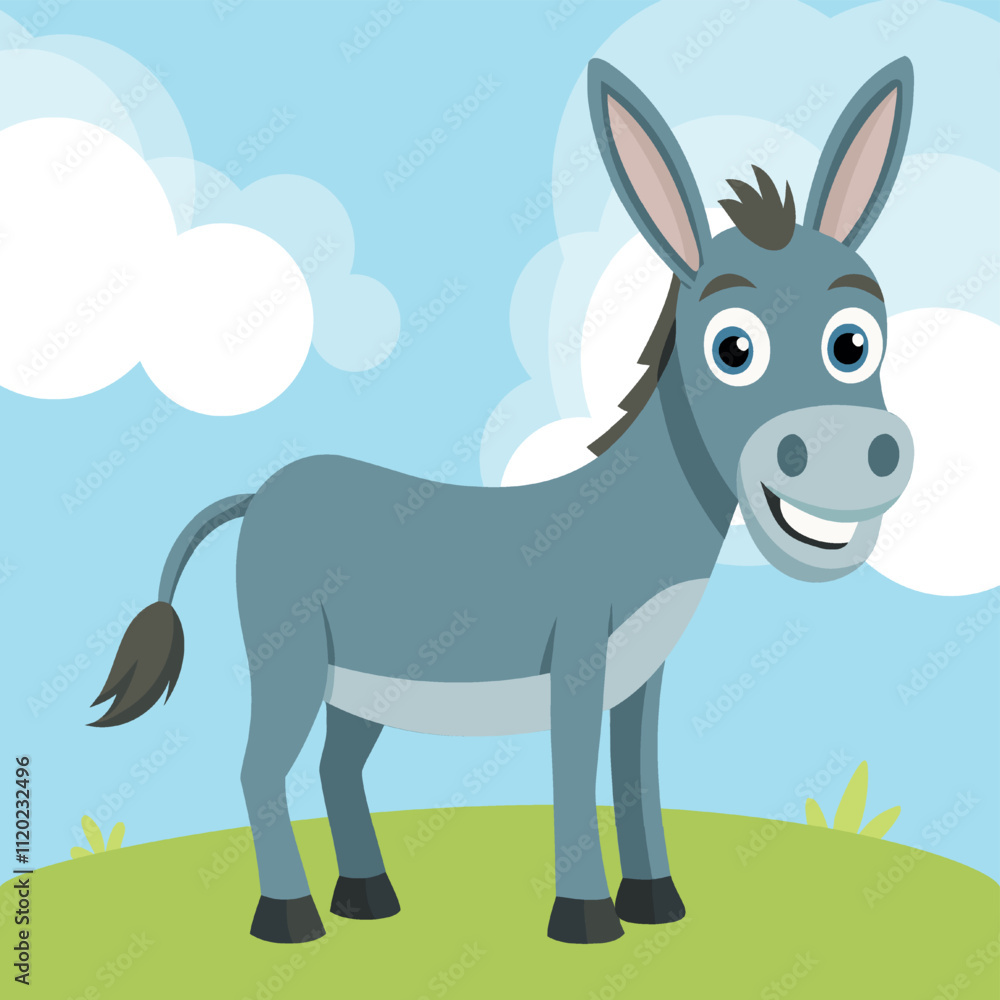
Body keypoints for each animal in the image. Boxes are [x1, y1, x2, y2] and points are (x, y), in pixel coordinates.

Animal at [91, 56, 915, 945]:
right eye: (734, 348)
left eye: (853, 341)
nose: (849, 454)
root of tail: (263, 491)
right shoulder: (579, 660)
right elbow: (573, 775)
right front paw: (586, 920)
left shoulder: (643, 677)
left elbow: (638, 777)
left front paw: (656, 904)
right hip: (290, 655)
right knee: (257, 769)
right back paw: (291, 918)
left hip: (363, 677)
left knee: (334, 765)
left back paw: (368, 898)